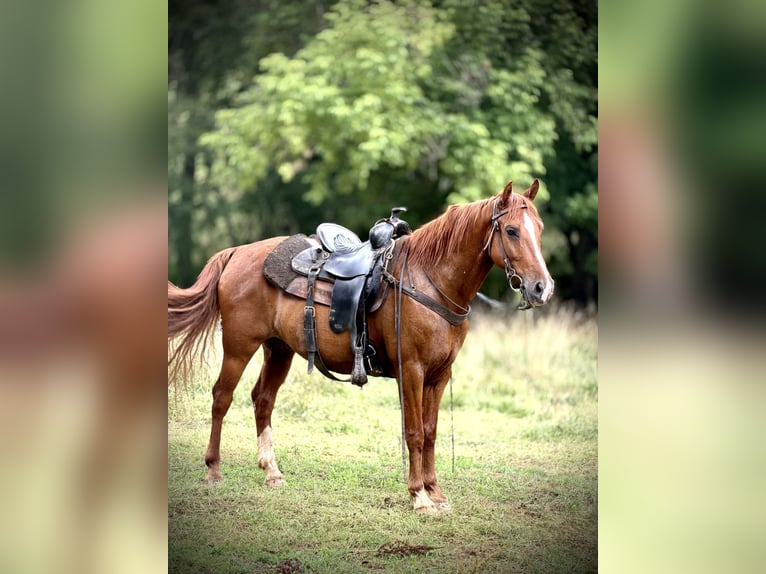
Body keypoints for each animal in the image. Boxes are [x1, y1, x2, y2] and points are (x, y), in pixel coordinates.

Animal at [168, 179, 554, 513]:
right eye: (511, 231)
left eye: (539, 229)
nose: (542, 288)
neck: (430, 280)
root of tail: (235, 253)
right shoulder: (411, 370)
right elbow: (414, 432)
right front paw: (419, 497)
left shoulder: (440, 374)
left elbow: (431, 432)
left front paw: (435, 492)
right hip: (238, 346)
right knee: (221, 397)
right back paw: (213, 470)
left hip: (278, 350)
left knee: (262, 399)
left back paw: (272, 472)